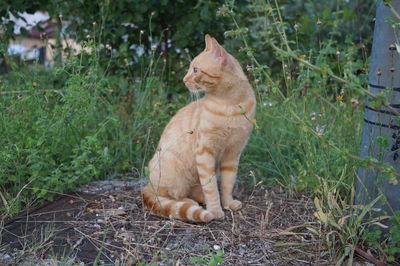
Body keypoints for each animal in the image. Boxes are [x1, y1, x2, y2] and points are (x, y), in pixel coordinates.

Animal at [142, 34, 256, 221]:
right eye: (190, 69)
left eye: (195, 70)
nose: (184, 80)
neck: (229, 104)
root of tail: (147, 185)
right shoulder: (204, 152)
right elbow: (211, 187)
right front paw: (215, 210)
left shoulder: (232, 154)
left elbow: (227, 184)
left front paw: (228, 203)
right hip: (175, 172)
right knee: (167, 196)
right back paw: (192, 203)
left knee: (194, 190)